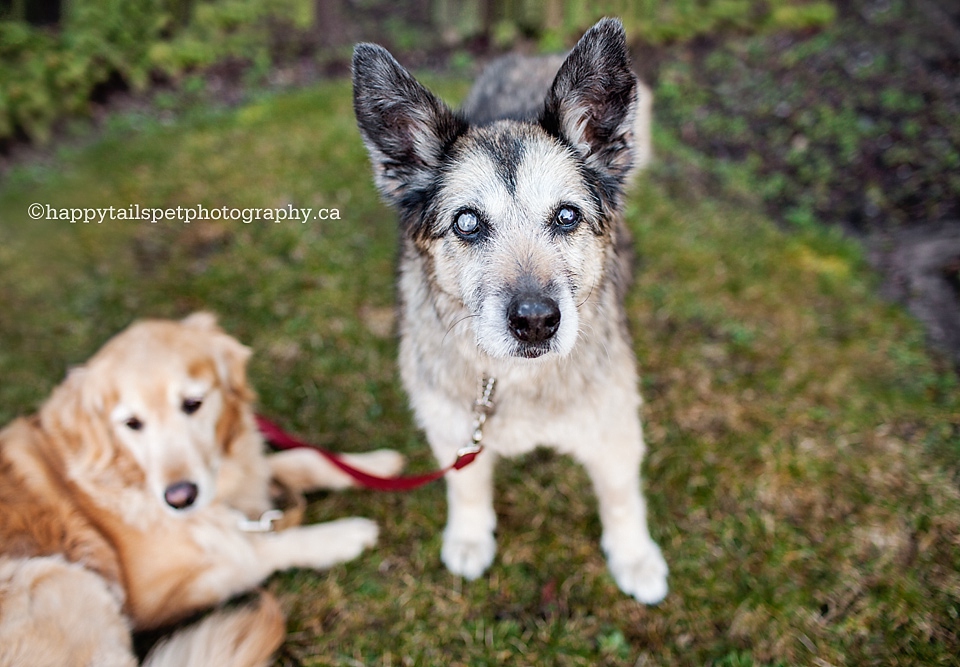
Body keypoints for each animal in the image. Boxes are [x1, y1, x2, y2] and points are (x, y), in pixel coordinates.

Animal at [0, 316, 402, 667]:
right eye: (132, 423)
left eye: (192, 404)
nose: (180, 498)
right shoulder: (154, 597)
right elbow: (255, 551)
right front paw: (341, 535)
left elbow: (303, 458)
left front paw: (372, 464)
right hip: (61, 577)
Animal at [352, 17, 668, 604]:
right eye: (467, 222)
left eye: (567, 216)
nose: (537, 322)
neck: (516, 380)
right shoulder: (453, 432)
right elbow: (466, 487)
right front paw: (470, 537)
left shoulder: (614, 433)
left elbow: (621, 497)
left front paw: (634, 556)